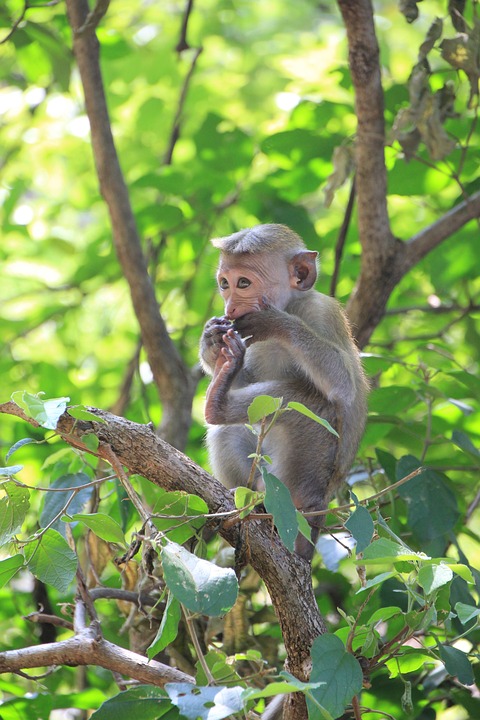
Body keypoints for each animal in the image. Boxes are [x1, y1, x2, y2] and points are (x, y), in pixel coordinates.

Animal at [200, 223, 368, 561]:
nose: (229, 306)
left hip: (304, 473)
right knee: (229, 431)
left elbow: (342, 385)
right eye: (224, 284)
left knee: (315, 403)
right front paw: (211, 343)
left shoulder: (321, 313)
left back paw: (218, 405)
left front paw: (276, 322)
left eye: (243, 283)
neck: (291, 303)